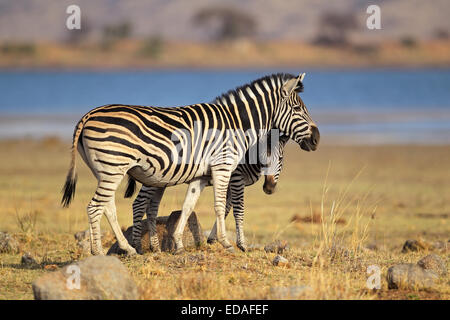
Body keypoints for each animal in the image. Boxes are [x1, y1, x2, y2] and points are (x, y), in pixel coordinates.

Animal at [125, 134, 290, 254]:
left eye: (281, 158)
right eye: (262, 155)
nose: (269, 188)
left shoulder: (230, 182)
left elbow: (226, 209)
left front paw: (212, 239)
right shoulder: (236, 178)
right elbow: (237, 210)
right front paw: (241, 245)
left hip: (159, 182)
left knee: (151, 208)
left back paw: (155, 248)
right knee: (138, 204)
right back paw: (137, 246)